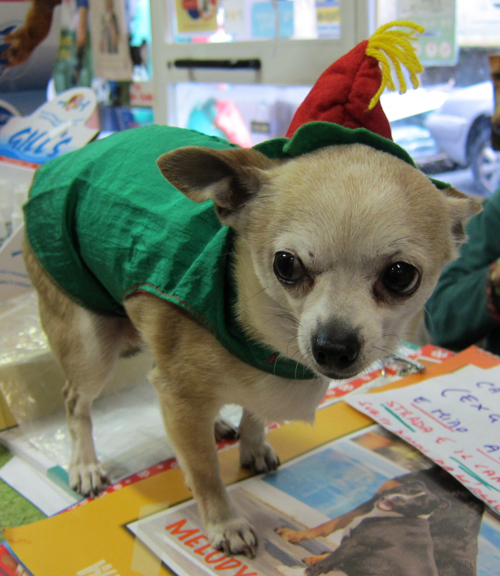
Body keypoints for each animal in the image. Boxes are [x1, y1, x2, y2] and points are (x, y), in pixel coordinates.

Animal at [22, 127, 480, 560]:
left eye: (401, 276)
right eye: (286, 265)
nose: (333, 346)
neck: (264, 340)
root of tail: (61, 161)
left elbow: (252, 412)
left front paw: (252, 442)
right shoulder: (182, 390)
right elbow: (205, 471)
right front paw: (223, 523)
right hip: (89, 344)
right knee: (76, 400)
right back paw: (84, 464)